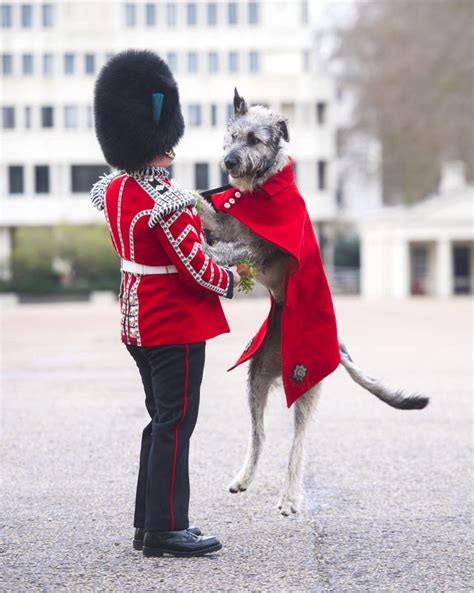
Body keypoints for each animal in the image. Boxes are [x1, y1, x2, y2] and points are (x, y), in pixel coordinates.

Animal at [198, 88, 428, 512]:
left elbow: (233, 248)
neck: (262, 188)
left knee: (298, 446)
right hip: (256, 379)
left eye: (254, 139)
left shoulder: (260, 248)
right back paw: (244, 478)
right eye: (233, 136)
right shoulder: (227, 222)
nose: (229, 162)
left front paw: (211, 254)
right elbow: (206, 209)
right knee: (260, 435)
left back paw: (290, 496)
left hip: (305, 388)